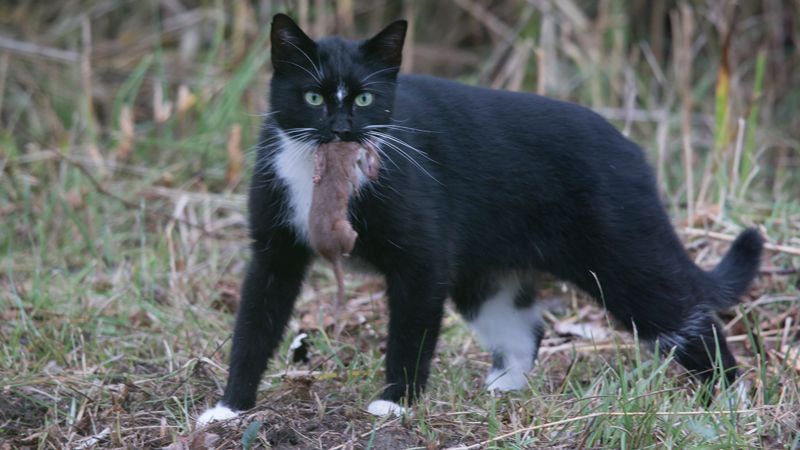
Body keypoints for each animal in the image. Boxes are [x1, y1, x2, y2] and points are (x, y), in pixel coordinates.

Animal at [195, 12, 764, 424]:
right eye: (313, 97)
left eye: (365, 97)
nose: (341, 129)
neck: (320, 173)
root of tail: (634, 154)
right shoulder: (275, 250)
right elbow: (255, 323)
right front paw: (228, 409)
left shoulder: (424, 255)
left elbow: (412, 330)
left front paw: (394, 403)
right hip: (486, 272)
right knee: (523, 327)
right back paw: (501, 388)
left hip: (621, 253)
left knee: (688, 313)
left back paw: (731, 401)